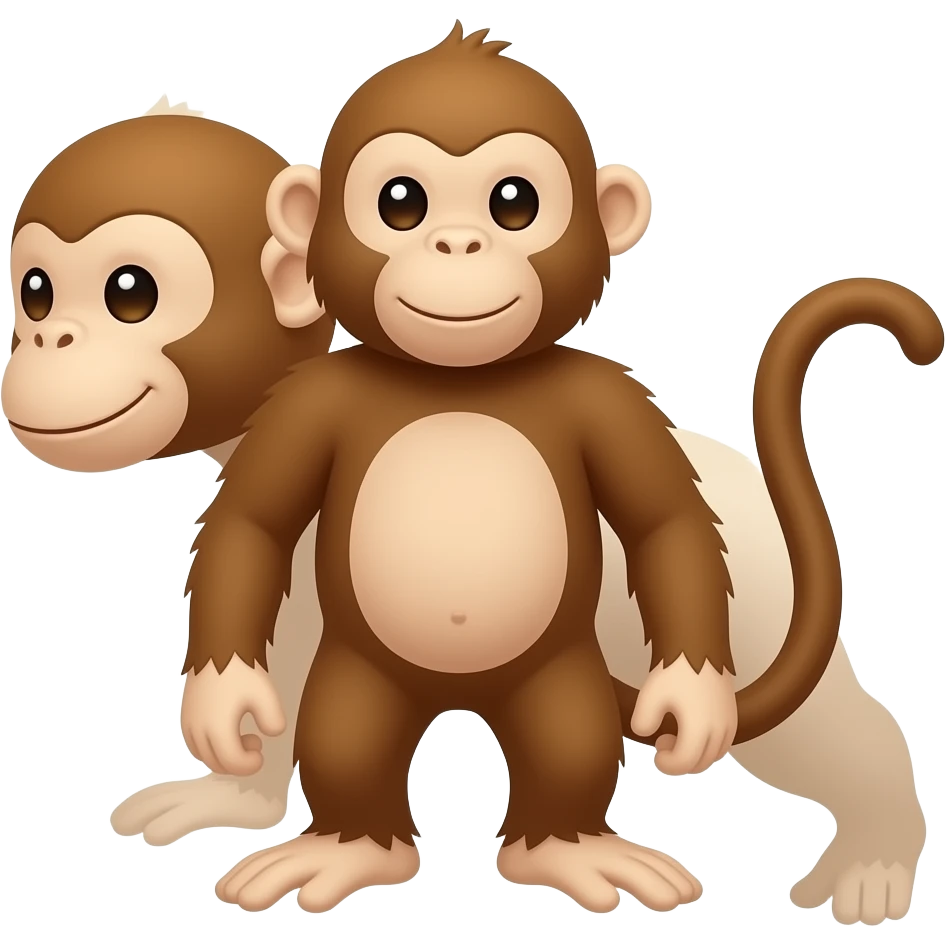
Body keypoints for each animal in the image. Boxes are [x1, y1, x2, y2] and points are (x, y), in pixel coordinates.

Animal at [170, 24, 943, 918]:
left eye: (514, 203)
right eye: (401, 202)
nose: (458, 243)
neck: (458, 381)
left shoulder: (608, 400)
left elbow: (662, 521)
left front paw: (692, 700)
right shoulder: (307, 409)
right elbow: (252, 524)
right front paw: (225, 715)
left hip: (587, 666)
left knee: (578, 743)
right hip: (367, 673)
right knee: (347, 739)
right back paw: (349, 848)